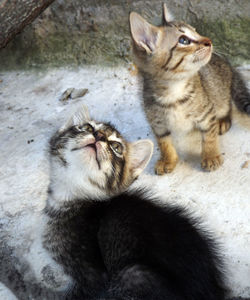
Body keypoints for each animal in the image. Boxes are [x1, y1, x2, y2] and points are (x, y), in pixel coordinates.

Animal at [27, 106, 227, 298]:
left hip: (131, 275)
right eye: (87, 128)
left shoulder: (93, 276)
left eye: (116, 146)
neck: (70, 195)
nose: (99, 136)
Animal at [129, 2, 250, 173]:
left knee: (226, 106)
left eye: (196, 31)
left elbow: (209, 137)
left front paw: (211, 156)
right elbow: (163, 142)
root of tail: (229, 66)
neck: (173, 91)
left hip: (219, 93)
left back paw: (222, 120)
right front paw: (168, 159)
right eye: (184, 40)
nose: (209, 40)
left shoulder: (207, 114)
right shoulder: (157, 123)